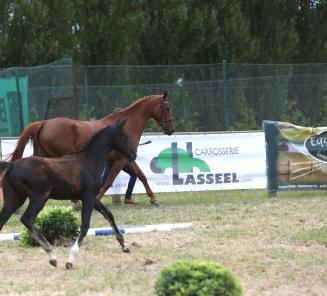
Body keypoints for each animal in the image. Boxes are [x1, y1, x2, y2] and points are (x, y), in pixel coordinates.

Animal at [0, 120, 136, 268]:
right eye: (125, 136)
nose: (133, 155)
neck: (89, 161)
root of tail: (11, 166)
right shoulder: (88, 197)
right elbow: (85, 225)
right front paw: (70, 260)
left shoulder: (90, 197)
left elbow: (108, 214)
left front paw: (124, 245)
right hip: (39, 197)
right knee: (27, 219)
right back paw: (52, 255)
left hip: (14, 200)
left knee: (3, 220)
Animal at [9, 92, 176, 206]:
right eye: (167, 108)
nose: (172, 128)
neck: (126, 126)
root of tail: (43, 123)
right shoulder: (121, 160)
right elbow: (108, 181)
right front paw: (96, 199)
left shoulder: (125, 160)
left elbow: (141, 176)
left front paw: (153, 198)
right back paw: (75, 202)